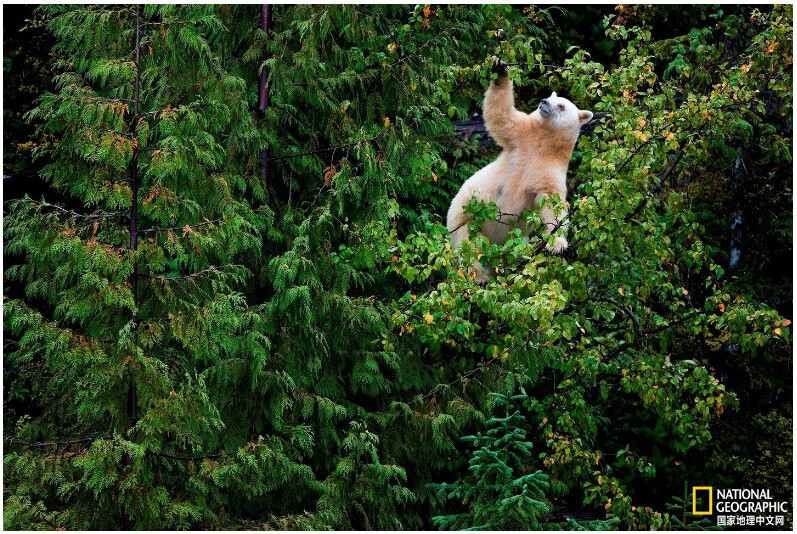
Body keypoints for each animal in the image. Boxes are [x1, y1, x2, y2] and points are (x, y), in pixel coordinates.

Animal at [448, 68, 592, 280]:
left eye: (562, 105)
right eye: (550, 97)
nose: (544, 102)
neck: (542, 142)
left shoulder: (550, 169)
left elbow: (552, 203)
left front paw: (557, 244)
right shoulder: (520, 137)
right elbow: (501, 116)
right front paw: (500, 71)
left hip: (514, 243)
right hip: (464, 218)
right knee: (470, 247)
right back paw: (479, 276)